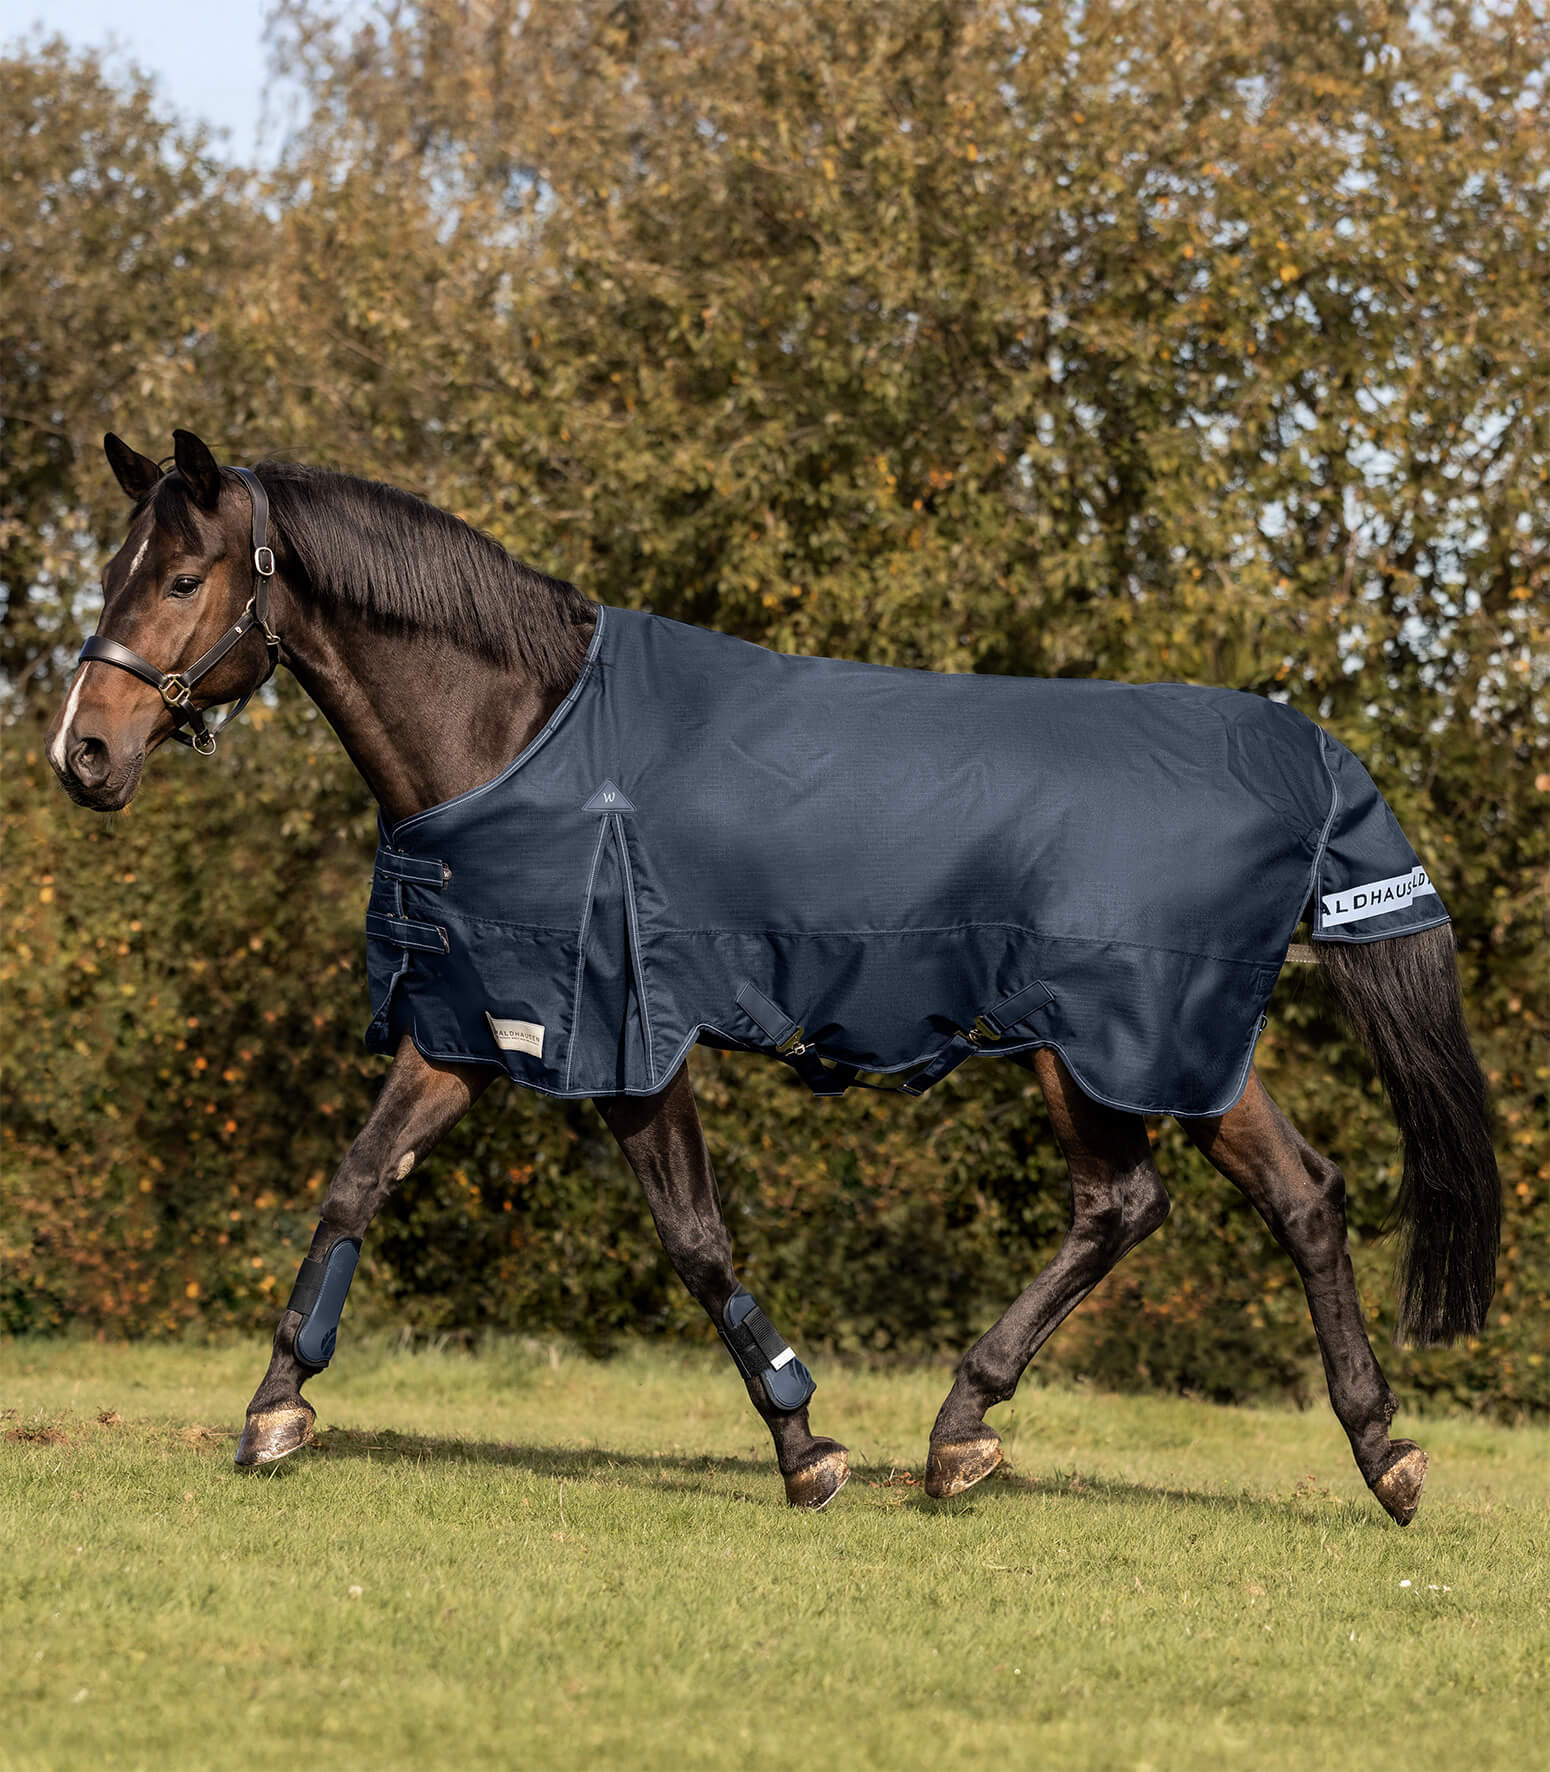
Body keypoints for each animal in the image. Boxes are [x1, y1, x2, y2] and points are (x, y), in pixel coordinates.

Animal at [46, 429, 1500, 1522]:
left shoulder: (627, 1040)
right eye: (115, 565)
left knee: (1151, 1202)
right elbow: (356, 1179)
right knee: (1267, 1197)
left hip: (1109, 1039)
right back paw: (1341, 1448)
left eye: (181, 578)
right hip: (1154, 1048)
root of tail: (1302, 757)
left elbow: (692, 1234)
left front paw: (806, 1446)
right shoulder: (477, 1026)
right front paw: (274, 1406)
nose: (83, 753)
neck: (525, 738)